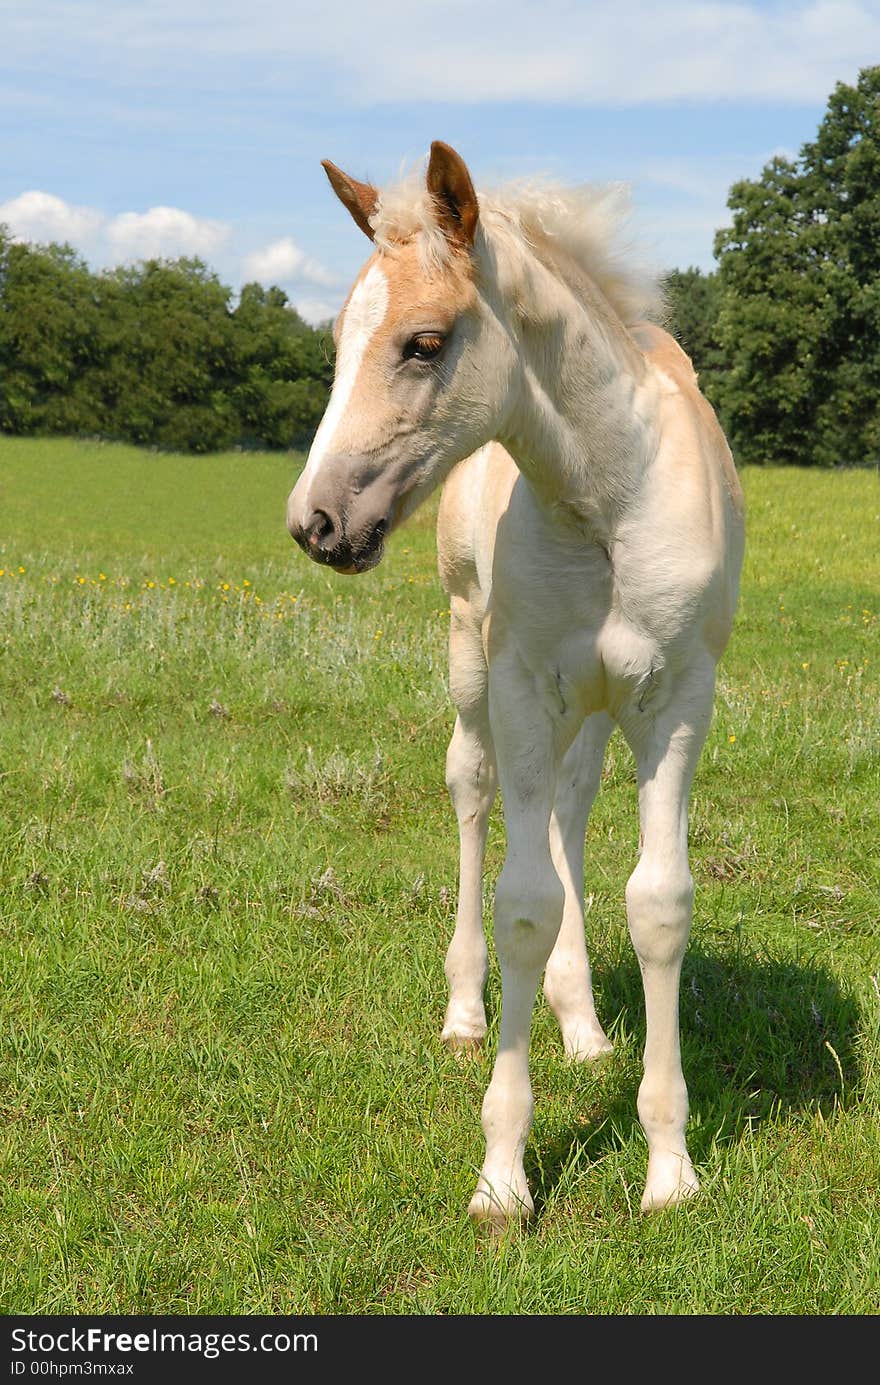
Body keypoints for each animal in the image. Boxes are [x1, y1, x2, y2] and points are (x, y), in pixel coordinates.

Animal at [286, 140, 742, 1224]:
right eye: (338, 341)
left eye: (422, 342)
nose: (315, 521)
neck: (605, 502)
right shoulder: (523, 685)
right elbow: (524, 901)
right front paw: (502, 1171)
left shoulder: (677, 701)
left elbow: (658, 903)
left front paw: (670, 1167)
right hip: (471, 659)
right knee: (474, 789)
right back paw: (463, 1009)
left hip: (596, 708)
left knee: (569, 809)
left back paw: (584, 1026)